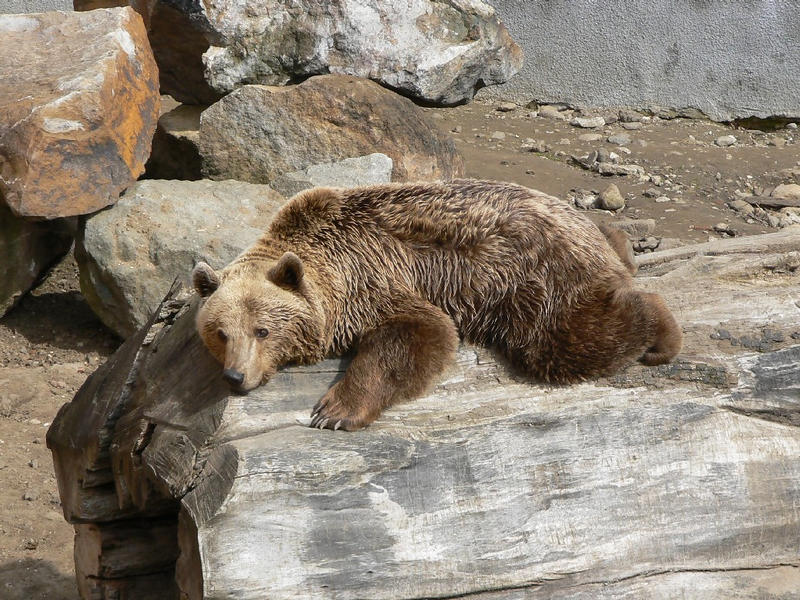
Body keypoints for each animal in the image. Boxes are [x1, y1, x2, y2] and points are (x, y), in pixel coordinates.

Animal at [194, 180, 680, 428]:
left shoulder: (372, 273)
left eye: (263, 330)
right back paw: (623, 244)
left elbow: (419, 332)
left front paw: (335, 410)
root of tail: (574, 220)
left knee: (566, 339)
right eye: (220, 333)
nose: (236, 376)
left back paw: (660, 331)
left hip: (534, 277)